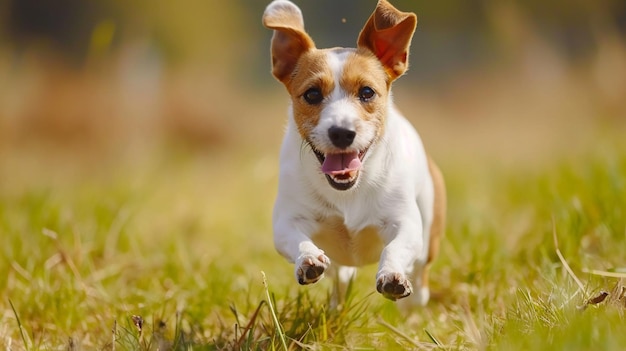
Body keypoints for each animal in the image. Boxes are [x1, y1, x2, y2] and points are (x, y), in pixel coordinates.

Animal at [262, 0, 444, 306]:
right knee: (342, 278)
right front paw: (308, 258)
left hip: (427, 237)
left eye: (367, 92)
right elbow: (296, 238)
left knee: (419, 282)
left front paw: (392, 274)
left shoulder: (404, 223)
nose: (341, 132)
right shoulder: (286, 221)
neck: (349, 192)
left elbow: (395, 247)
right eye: (312, 94)